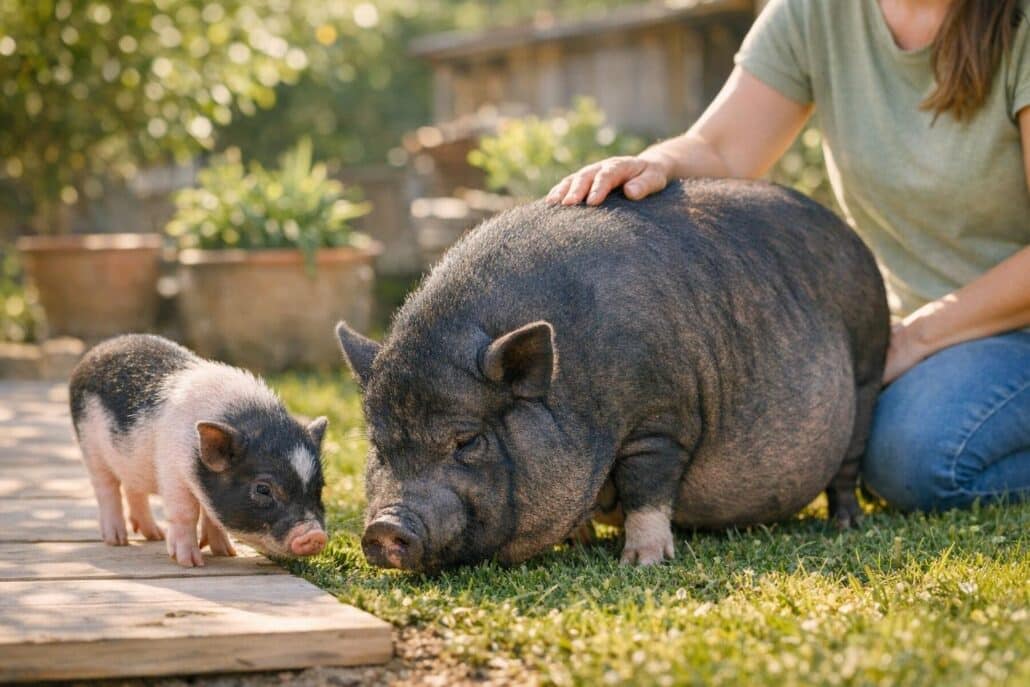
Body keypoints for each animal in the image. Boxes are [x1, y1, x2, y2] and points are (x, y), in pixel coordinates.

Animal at [69, 334, 329, 567]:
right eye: (263, 489)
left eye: (319, 488)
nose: (315, 535)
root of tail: (95, 352)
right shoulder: (173, 472)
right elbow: (186, 512)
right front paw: (190, 563)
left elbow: (212, 516)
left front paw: (226, 553)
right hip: (90, 446)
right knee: (107, 488)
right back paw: (117, 540)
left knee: (134, 490)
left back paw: (154, 535)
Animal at [337, 178, 889, 571]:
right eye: (379, 447)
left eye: (467, 441)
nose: (383, 527)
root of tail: (854, 238)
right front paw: (578, 544)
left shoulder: (661, 419)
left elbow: (647, 489)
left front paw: (641, 562)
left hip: (867, 364)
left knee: (847, 464)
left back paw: (845, 525)